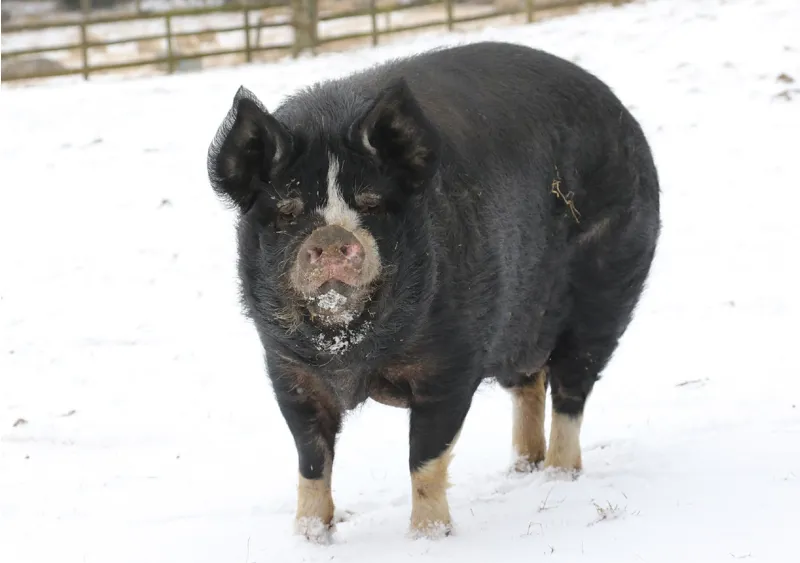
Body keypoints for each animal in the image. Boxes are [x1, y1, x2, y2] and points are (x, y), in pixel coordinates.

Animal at [206, 41, 660, 541]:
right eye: (288, 211)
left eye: (372, 204)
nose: (331, 236)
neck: (352, 353)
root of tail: (621, 113)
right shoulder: (287, 369)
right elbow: (311, 460)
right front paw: (309, 537)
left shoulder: (451, 363)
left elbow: (425, 457)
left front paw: (428, 537)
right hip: (519, 323)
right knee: (529, 384)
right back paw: (522, 469)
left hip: (606, 294)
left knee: (571, 388)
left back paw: (559, 477)